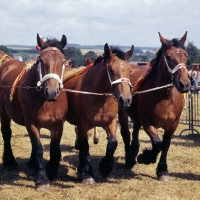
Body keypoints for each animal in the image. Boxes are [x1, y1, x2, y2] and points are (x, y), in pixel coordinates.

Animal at [0, 34, 68, 192]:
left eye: (63, 62)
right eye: (40, 60)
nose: (52, 92)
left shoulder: (58, 126)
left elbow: (54, 149)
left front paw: (51, 171)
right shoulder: (31, 124)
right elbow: (38, 149)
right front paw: (42, 179)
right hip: (3, 113)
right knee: (6, 133)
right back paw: (10, 160)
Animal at [63, 44, 134, 184]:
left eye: (130, 71)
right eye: (111, 70)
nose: (126, 99)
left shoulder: (110, 122)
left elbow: (112, 143)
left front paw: (105, 167)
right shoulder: (82, 123)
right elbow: (84, 146)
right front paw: (86, 173)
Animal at [118, 31, 191, 181]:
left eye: (185, 55)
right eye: (168, 57)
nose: (185, 84)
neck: (165, 97)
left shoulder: (173, 124)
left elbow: (165, 144)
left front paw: (162, 170)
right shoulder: (147, 122)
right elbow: (157, 144)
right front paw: (145, 157)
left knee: (135, 131)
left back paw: (134, 151)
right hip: (123, 112)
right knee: (126, 134)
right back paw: (130, 160)